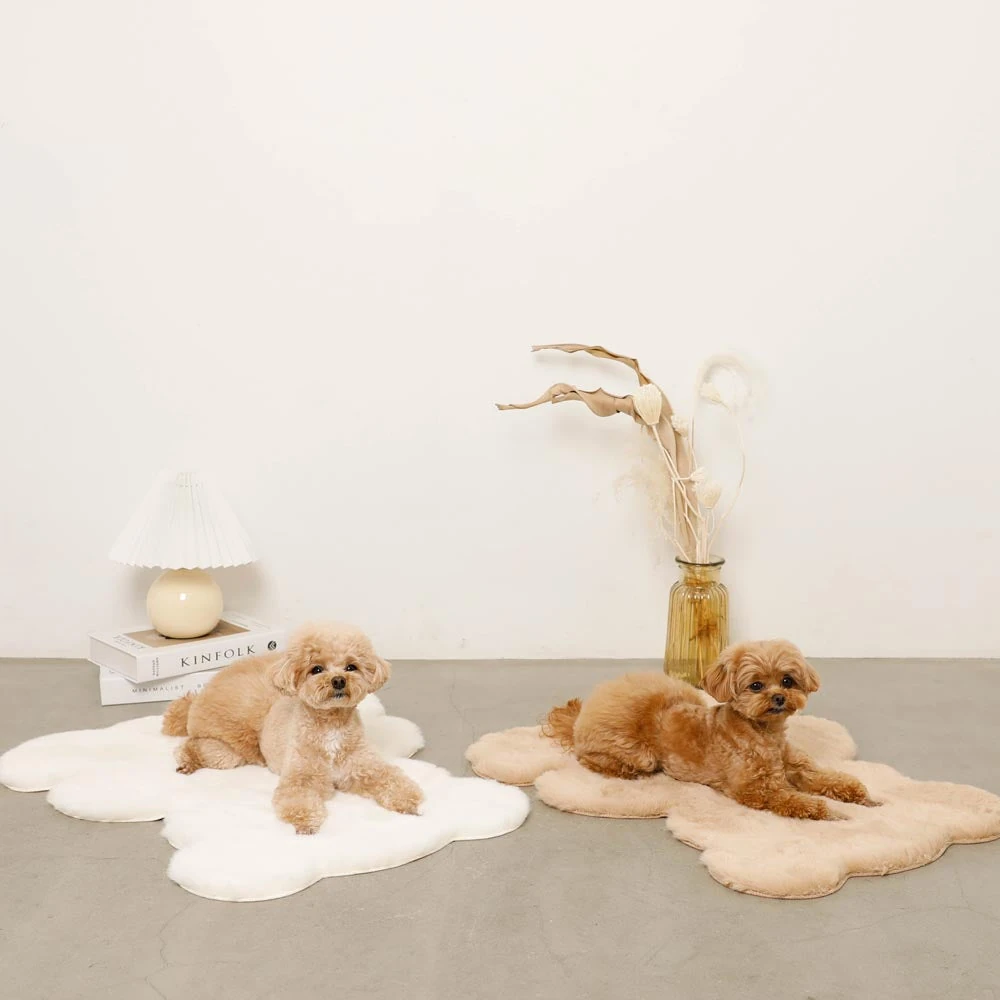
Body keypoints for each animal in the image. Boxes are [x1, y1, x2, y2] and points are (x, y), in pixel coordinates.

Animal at [163, 622, 424, 834]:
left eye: (351, 667)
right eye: (316, 669)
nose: (338, 680)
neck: (331, 725)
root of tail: (204, 691)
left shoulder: (365, 766)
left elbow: (391, 778)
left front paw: (409, 801)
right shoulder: (301, 776)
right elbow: (297, 799)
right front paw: (305, 822)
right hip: (229, 748)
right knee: (195, 745)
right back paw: (186, 761)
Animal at [543, 639, 875, 820]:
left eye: (787, 681)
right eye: (756, 685)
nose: (779, 698)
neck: (763, 735)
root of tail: (583, 714)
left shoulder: (796, 767)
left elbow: (825, 778)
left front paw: (858, 794)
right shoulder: (753, 790)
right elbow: (792, 800)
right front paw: (827, 811)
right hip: (638, 753)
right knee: (589, 757)